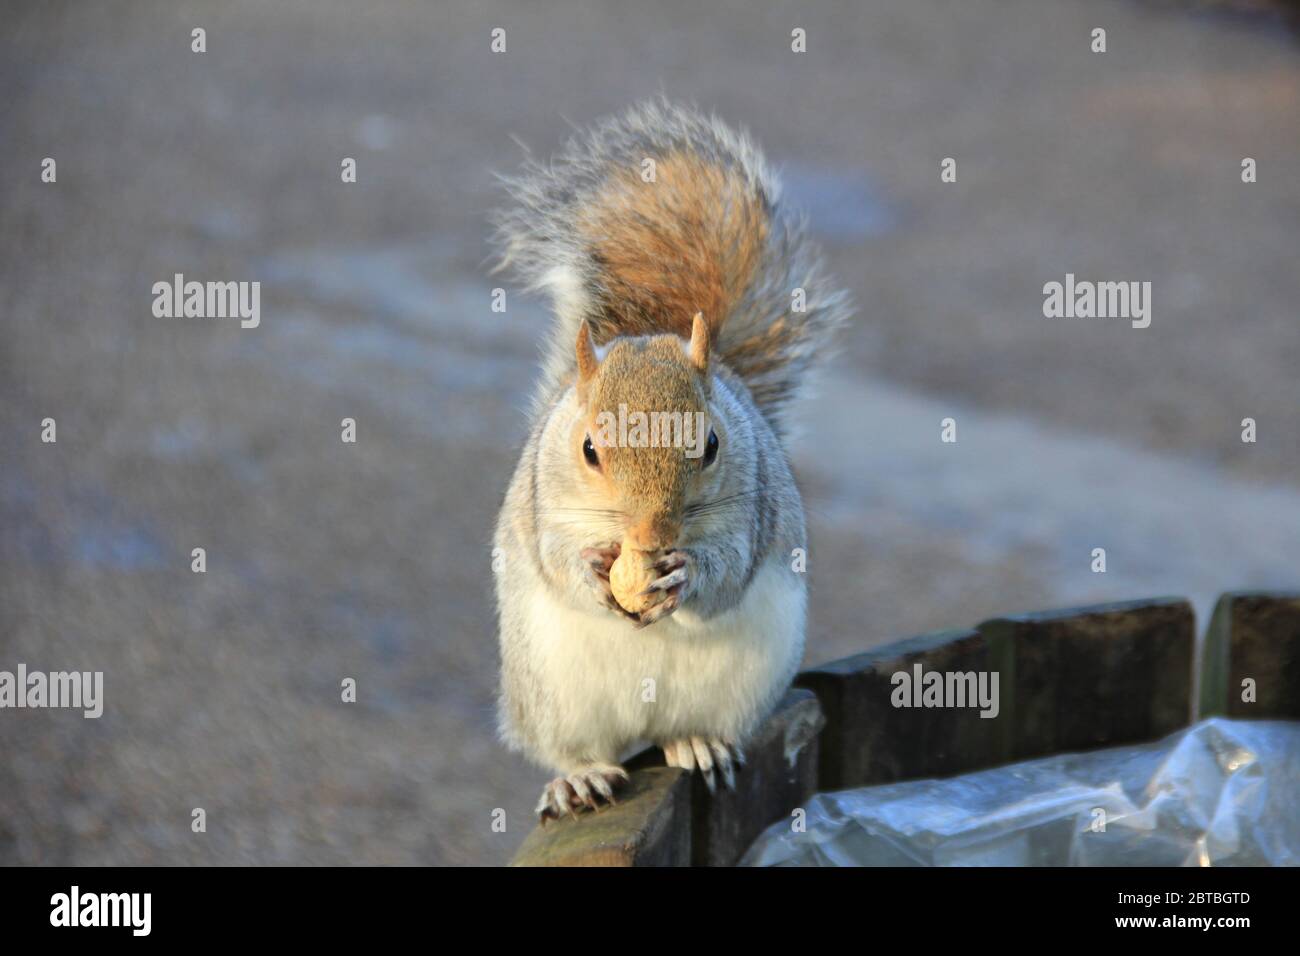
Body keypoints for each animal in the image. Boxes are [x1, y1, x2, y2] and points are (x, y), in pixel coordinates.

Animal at [491, 102, 847, 822]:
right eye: (589, 449)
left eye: (709, 445)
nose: (653, 536)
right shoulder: (543, 509)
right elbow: (559, 561)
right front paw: (594, 569)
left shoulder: (751, 514)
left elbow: (729, 570)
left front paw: (686, 571)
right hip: (549, 694)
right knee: (575, 749)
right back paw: (579, 779)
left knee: (690, 731)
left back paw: (698, 745)